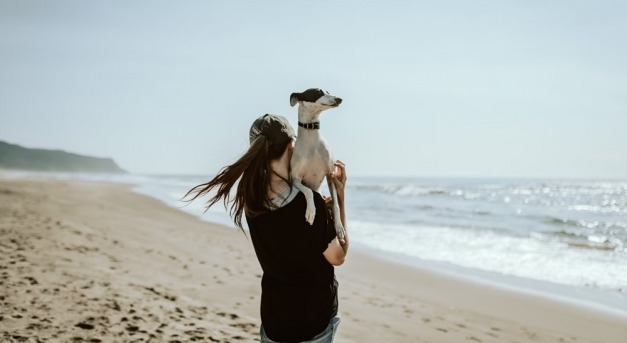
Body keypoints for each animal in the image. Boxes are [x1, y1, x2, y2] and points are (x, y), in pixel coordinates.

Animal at [290, 88, 348, 245]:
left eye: (328, 91)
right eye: (317, 92)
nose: (339, 99)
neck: (312, 140)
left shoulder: (330, 174)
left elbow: (335, 204)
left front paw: (339, 228)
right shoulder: (295, 180)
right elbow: (309, 191)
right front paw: (311, 212)